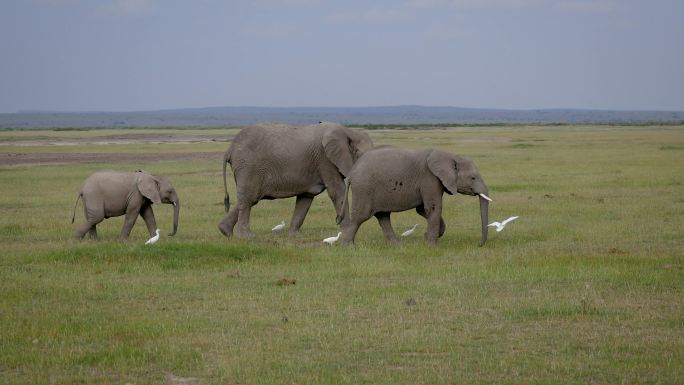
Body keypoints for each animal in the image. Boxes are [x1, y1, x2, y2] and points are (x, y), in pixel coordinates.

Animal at [218, 121, 372, 237]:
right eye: (360, 154)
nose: (337, 220)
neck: (350, 131)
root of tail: (229, 149)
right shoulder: (325, 160)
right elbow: (337, 191)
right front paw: (346, 231)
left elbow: (306, 198)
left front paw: (294, 235)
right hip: (248, 167)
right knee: (249, 198)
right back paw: (246, 237)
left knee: (250, 198)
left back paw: (225, 231)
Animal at [340, 146, 488, 248]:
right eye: (473, 178)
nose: (479, 245)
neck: (451, 155)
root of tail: (351, 173)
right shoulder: (429, 178)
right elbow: (433, 208)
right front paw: (432, 246)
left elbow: (423, 209)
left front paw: (427, 237)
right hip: (364, 188)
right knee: (361, 217)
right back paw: (348, 246)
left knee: (383, 216)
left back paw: (396, 245)